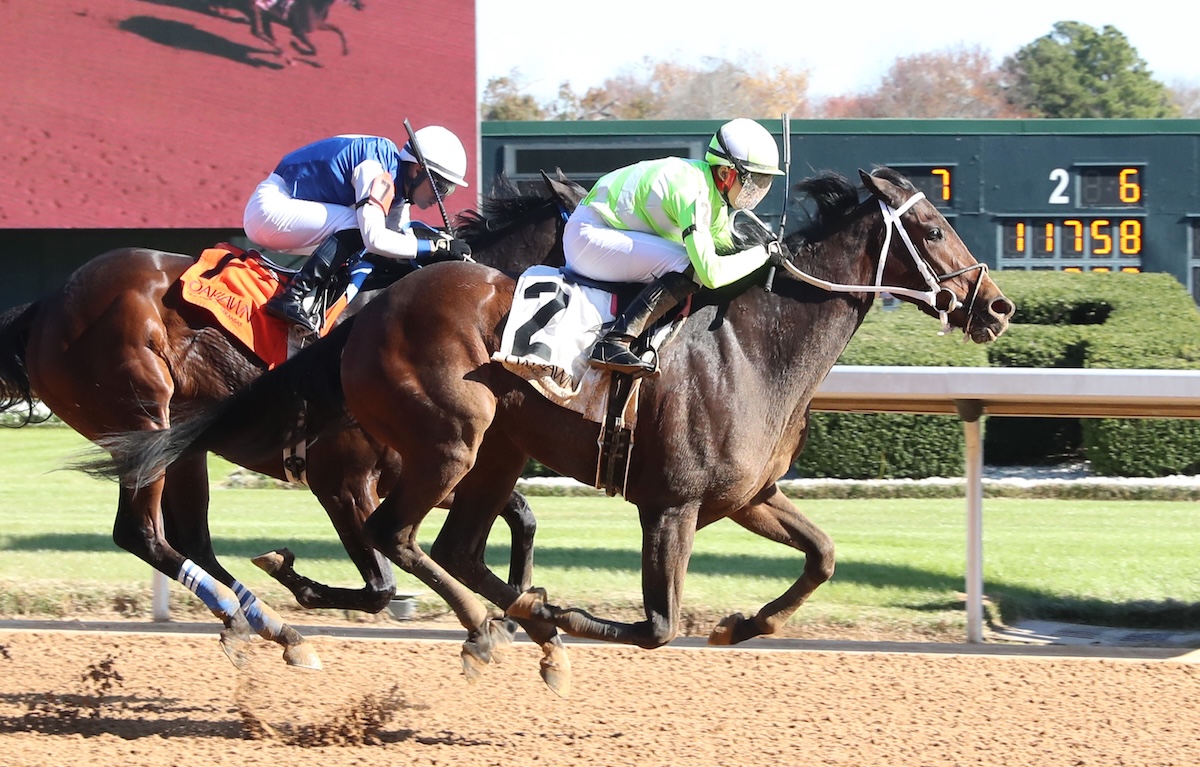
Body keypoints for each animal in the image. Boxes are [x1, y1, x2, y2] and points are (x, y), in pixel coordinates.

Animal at [0, 172, 585, 672]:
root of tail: (45, 306)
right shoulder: (343, 481)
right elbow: (381, 587)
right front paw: (297, 579)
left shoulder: (424, 466)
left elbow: (521, 515)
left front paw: (524, 617)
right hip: (141, 413)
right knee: (141, 532)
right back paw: (256, 620)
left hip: (182, 444)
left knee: (190, 540)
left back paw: (267, 625)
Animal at [91, 169, 1012, 696]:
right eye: (933, 229)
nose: (997, 306)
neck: (754, 343)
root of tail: (370, 313)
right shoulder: (671, 504)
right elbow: (656, 625)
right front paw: (563, 613)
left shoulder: (748, 496)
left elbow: (822, 555)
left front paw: (741, 625)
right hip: (448, 440)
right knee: (398, 535)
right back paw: (477, 629)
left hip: (497, 448)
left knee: (451, 547)